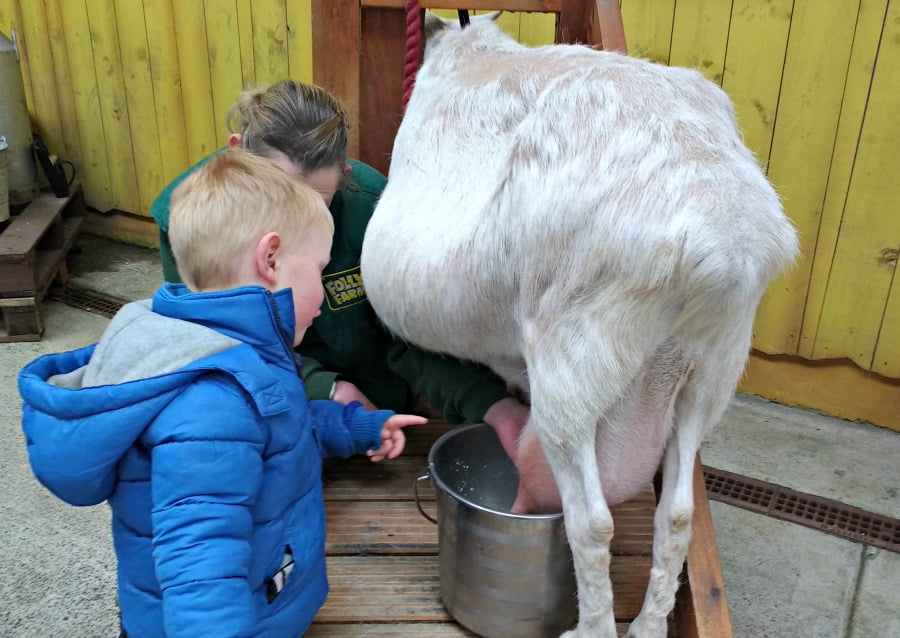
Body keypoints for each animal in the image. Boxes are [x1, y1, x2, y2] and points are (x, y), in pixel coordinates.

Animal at [358, 13, 796, 638]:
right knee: (678, 512)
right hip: (712, 368)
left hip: (572, 359)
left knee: (592, 522)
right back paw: (648, 625)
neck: (472, 48)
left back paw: (591, 626)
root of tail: (723, 247)